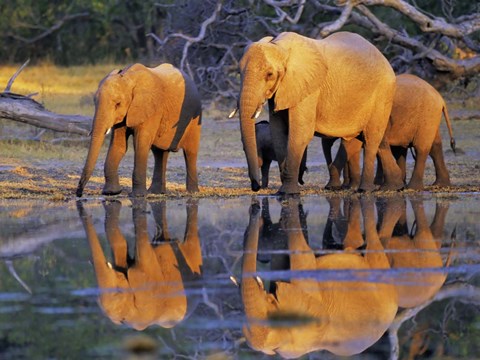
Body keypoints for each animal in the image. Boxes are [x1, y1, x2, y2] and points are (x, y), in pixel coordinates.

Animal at [234, 31, 400, 194]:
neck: (279, 45)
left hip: (383, 93)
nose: (255, 187)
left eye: (269, 74)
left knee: (371, 138)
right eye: (239, 72)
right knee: (364, 139)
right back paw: (393, 187)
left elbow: (301, 132)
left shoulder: (309, 88)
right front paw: (283, 190)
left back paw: (364, 190)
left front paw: (287, 193)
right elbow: (278, 132)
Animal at [324, 73, 456, 191]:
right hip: (430, 119)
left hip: (427, 117)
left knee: (421, 149)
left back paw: (413, 188)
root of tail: (441, 98)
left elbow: (353, 144)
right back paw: (439, 184)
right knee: (434, 147)